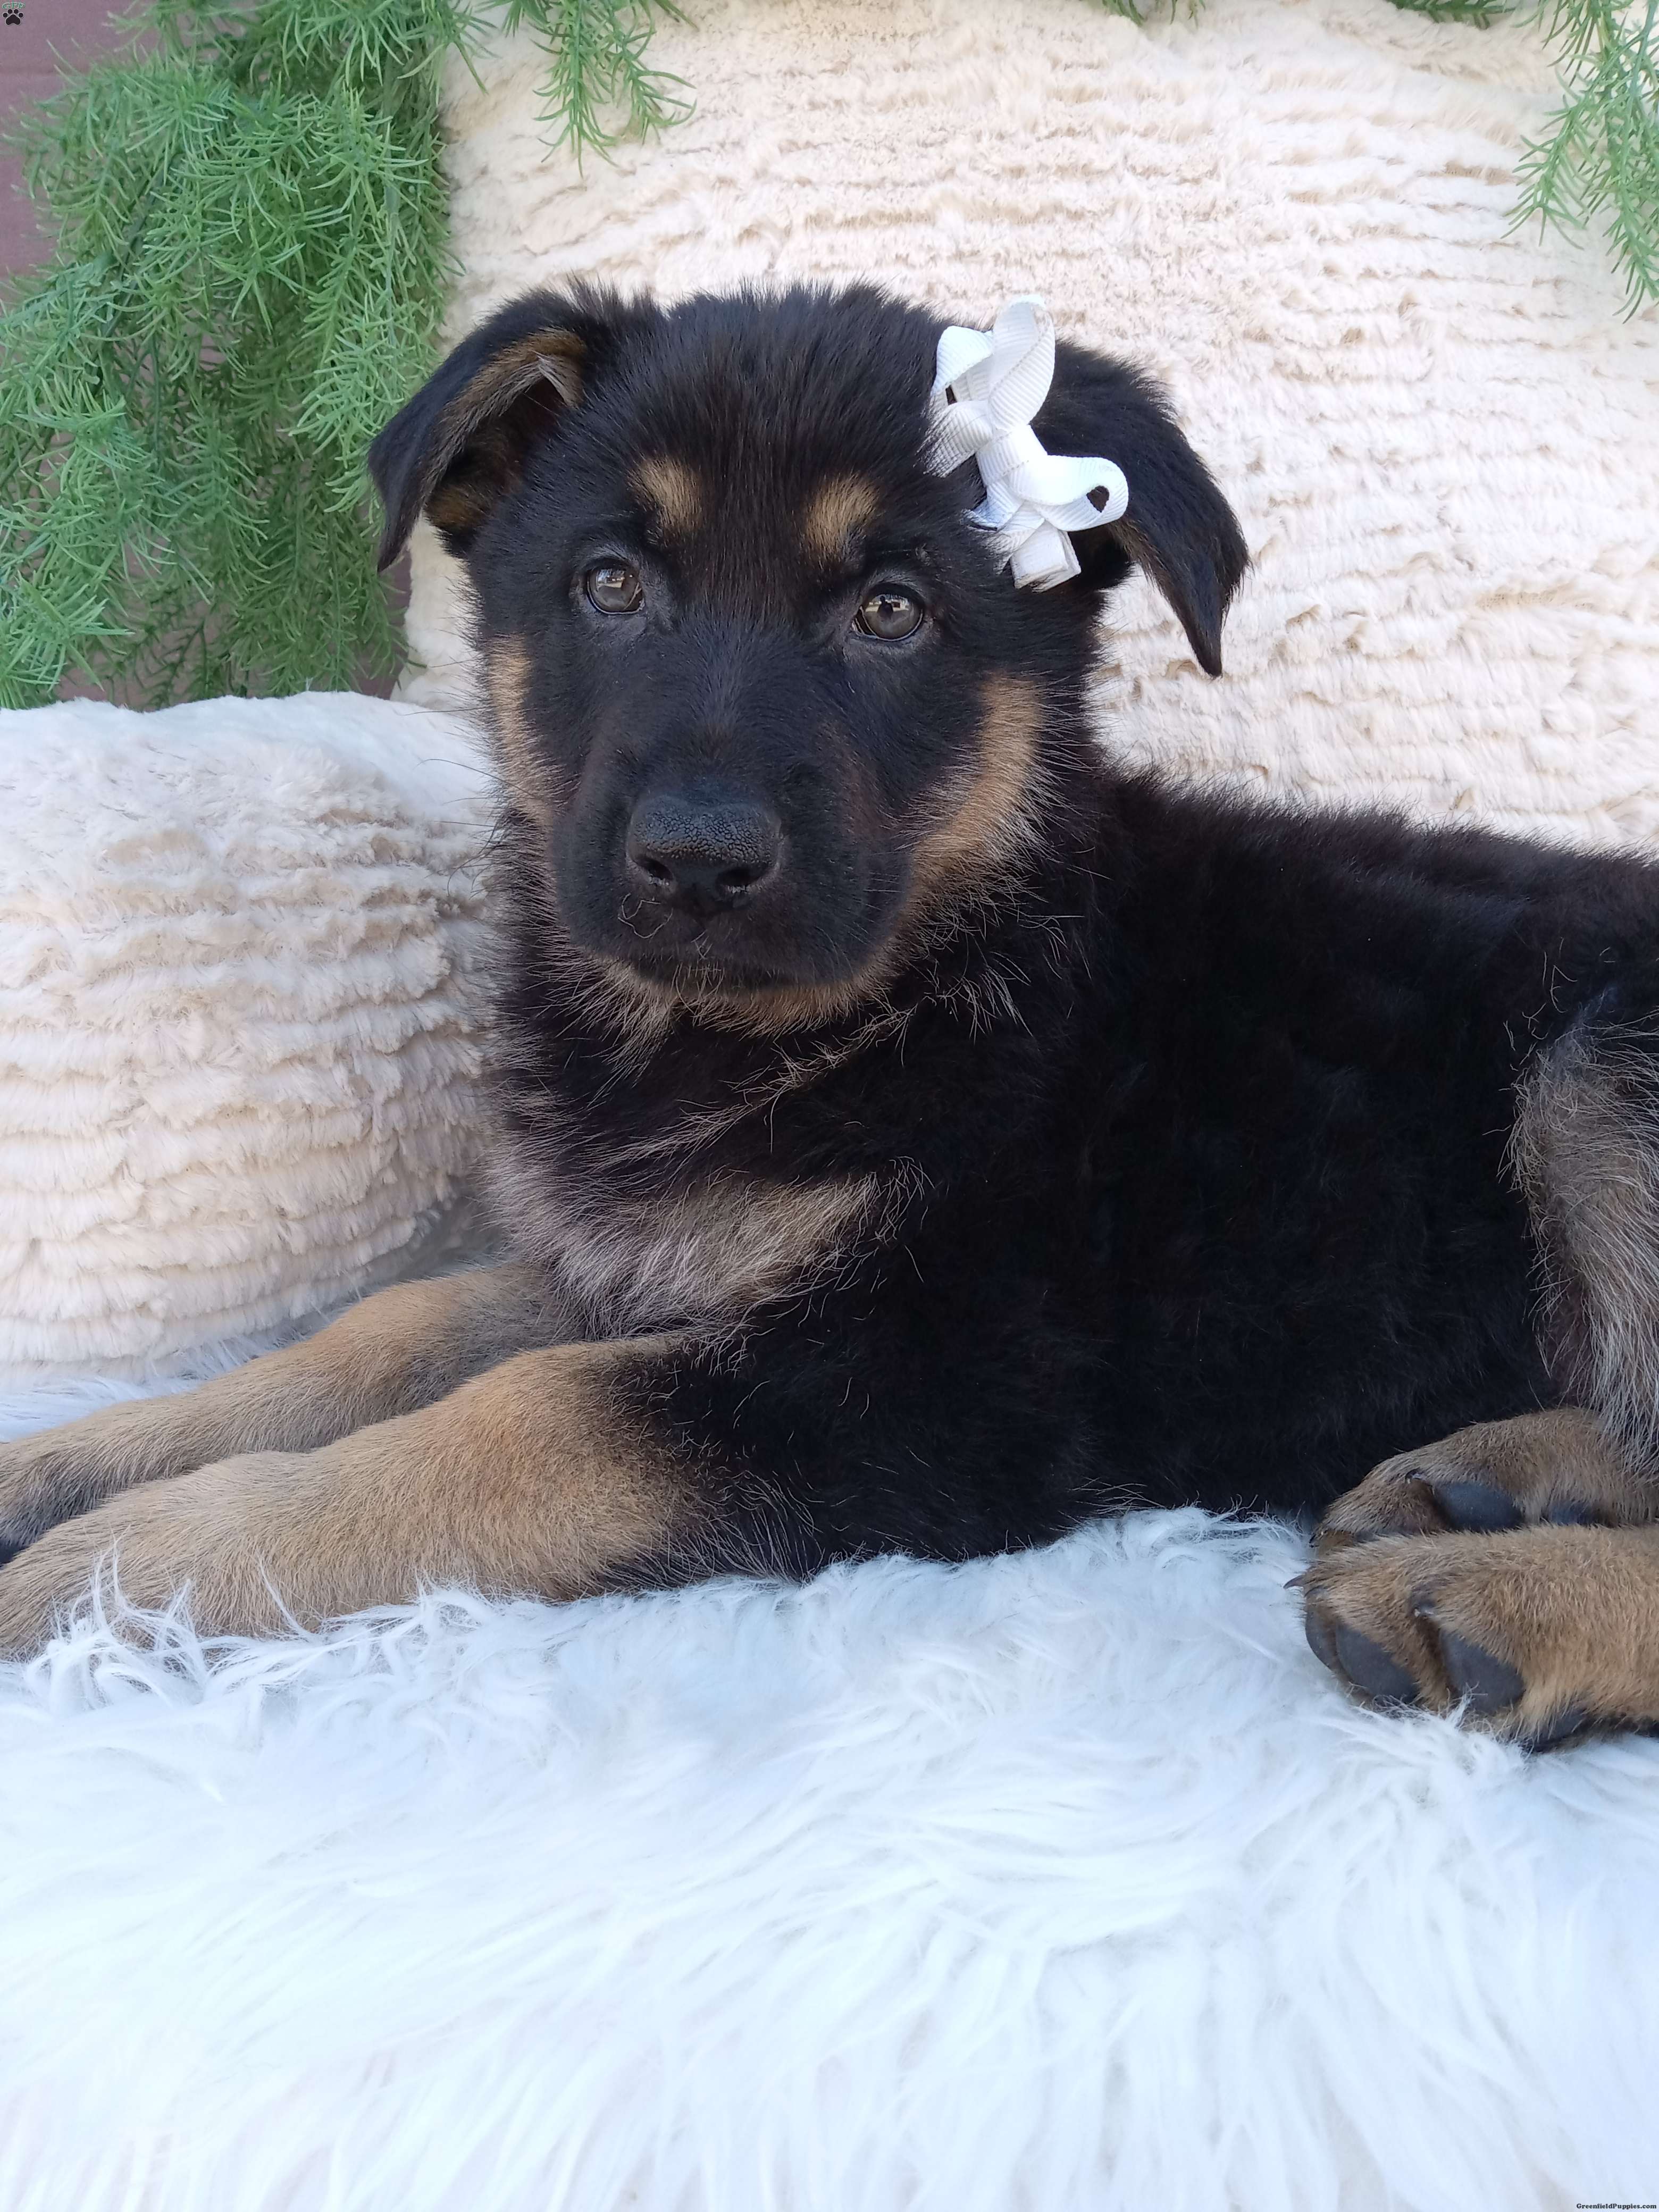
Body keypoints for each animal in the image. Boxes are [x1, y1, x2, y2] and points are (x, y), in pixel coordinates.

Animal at [2, 281, 1657, 1750]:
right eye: (612, 584)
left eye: (891, 611)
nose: (697, 859)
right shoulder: (656, 1263)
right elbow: (381, 1335)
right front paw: (70, 1470)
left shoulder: (926, 1375)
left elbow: (518, 1418)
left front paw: (123, 1575)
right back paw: (1494, 1483)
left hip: (1599, 1062)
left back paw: (1502, 1598)